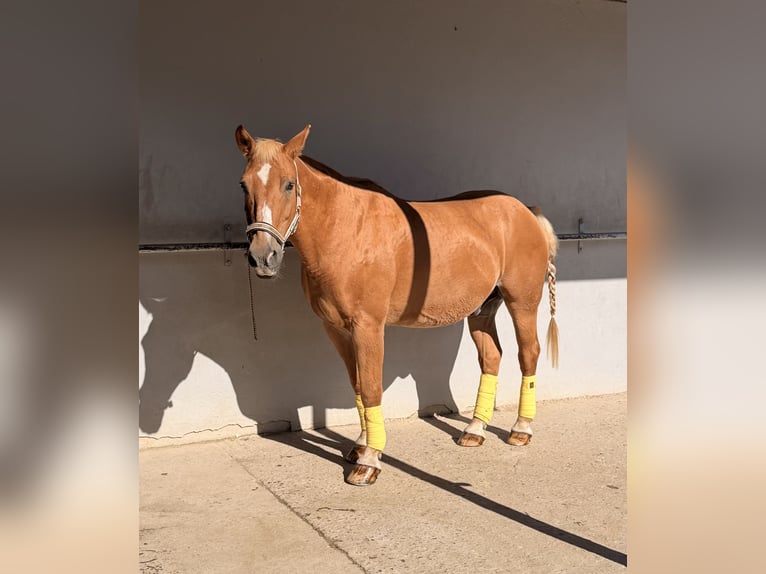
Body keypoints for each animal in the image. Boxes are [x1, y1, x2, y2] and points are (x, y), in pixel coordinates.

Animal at [234, 124, 559, 486]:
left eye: (289, 184)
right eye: (244, 184)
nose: (263, 257)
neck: (346, 230)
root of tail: (525, 211)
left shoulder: (368, 326)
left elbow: (372, 388)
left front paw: (369, 461)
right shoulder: (336, 329)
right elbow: (358, 385)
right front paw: (360, 446)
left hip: (522, 303)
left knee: (528, 354)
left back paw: (520, 429)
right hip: (482, 310)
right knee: (491, 357)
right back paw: (475, 430)